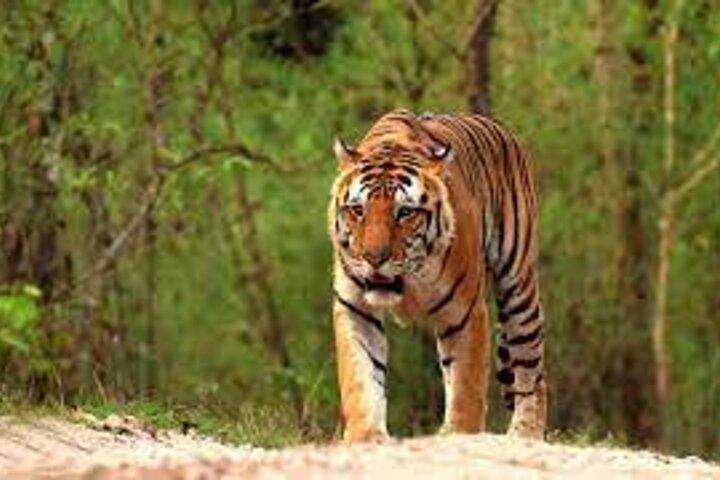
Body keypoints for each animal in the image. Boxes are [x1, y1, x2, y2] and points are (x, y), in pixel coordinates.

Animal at [328, 109, 546, 443]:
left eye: (405, 212)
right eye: (357, 210)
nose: (373, 258)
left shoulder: (466, 312)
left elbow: (466, 386)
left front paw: (460, 434)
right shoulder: (355, 307)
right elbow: (361, 377)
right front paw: (365, 437)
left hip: (518, 284)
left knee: (530, 368)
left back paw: (525, 434)